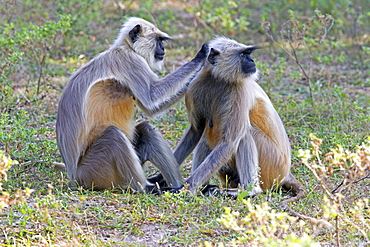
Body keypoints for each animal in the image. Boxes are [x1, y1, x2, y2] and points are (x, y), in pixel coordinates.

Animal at [56, 16, 210, 192]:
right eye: (158, 40)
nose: (163, 48)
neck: (125, 48)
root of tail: (74, 177)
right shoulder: (131, 62)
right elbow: (152, 98)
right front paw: (201, 56)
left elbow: (151, 108)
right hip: (94, 172)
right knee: (113, 136)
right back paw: (146, 188)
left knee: (147, 130)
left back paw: (177, 187)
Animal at [169, 36, 304, 198]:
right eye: (243, 54)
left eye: (248, 54)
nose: (252, 60)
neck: (218, 79)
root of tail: (286, 173)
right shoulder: (194, 87)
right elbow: (195, 131)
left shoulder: (240, 90)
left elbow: (230, 142)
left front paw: (185, 188)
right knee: (206, 137)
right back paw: (207, 187)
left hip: (273, 166)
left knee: (244, 134)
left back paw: (249, 190)